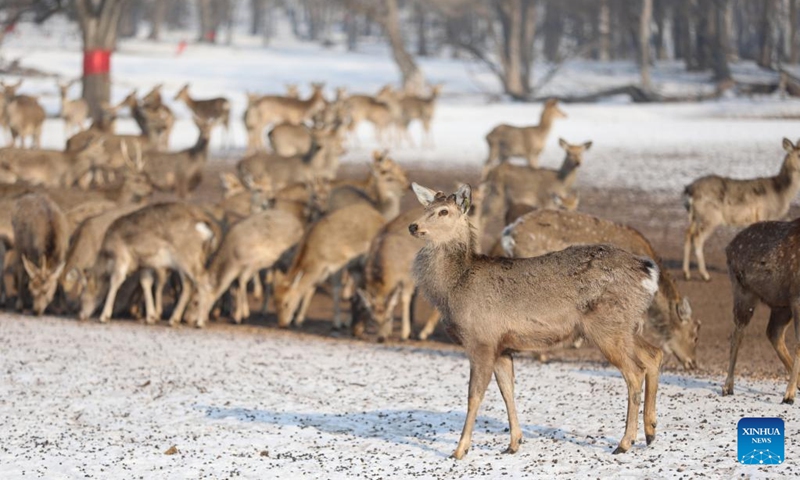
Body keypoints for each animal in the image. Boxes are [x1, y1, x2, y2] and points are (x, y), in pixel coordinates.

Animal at [406, 183, 664, 458]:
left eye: (443, 211)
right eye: (426, 207)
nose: (413, 226)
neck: (454, 287)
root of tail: (648, 272)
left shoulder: (481, 339)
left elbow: (474, 395)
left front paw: (459, 450)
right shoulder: (503, 347)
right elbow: (508, 391)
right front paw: (514, 443)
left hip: (607, 326)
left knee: (634, 372)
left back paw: (625, 442)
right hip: (624, 325)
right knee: (654, 354)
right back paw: (650, 432)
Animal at [680, 137, 800, 282]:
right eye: (799, 155)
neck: (781, 193)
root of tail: (689, 190)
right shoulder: (763, 214)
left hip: (694, 216)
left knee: (687, 234)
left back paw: (686, 273)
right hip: (710, 215)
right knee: (697, 238)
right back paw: (705, 275)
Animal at [724, 216, 800, 404]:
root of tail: (728, 248)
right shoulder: (797, 297)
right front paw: (789, 395)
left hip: (781, 305)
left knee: (773, 332)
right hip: (744, 292)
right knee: (737, 335)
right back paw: (727, 387)